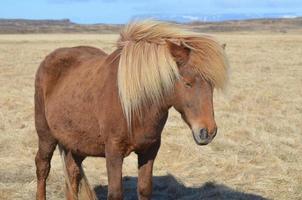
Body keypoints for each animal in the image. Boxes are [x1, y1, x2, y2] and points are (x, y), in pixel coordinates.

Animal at [34, 20, 229, 200]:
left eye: (211, 85)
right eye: (187, 83)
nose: (207, 132)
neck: (136, 105)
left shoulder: (149, 150)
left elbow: (144, 189)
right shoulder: (113, 152)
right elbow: (115, 193)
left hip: (76, 143)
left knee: (72, 173)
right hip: (46, 135)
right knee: (43, 167)